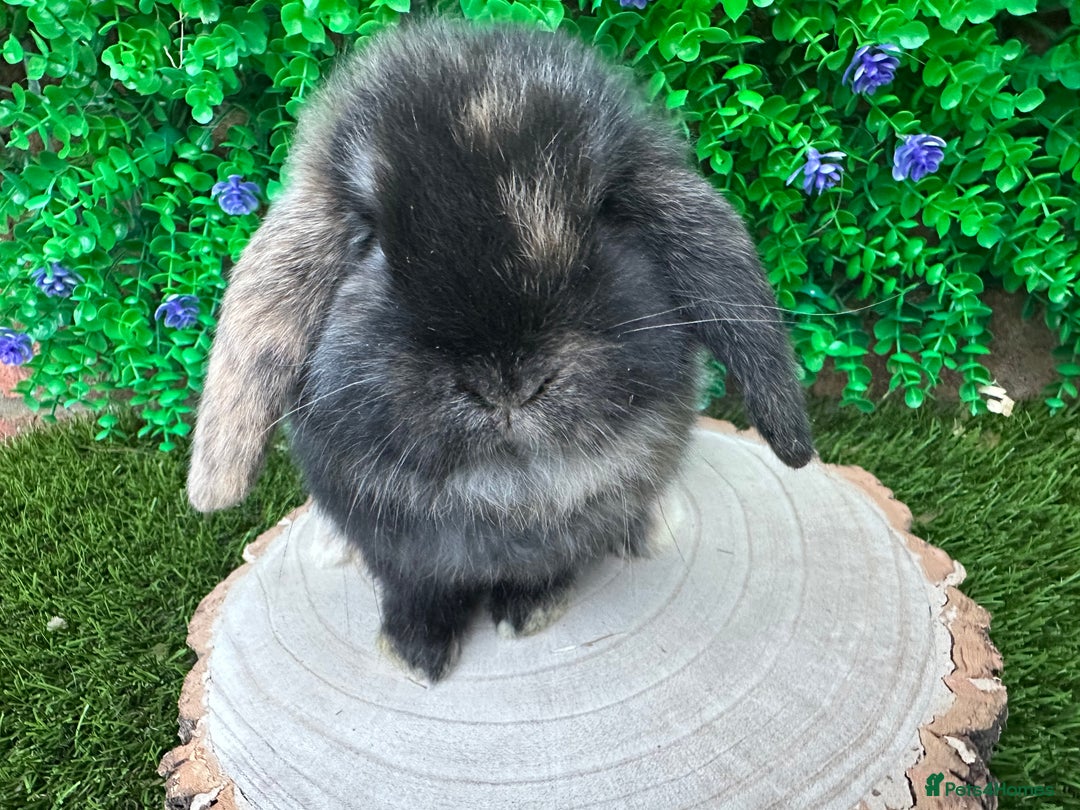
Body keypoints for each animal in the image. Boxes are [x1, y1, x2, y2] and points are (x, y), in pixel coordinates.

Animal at [187, 17, 814, 682]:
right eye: (371, 240)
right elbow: (418, 588)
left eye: (605, 213)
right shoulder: (393, 545)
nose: (507, 383)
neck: (500, 490)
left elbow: (544, 571)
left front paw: (529, 614)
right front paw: (415, 653)